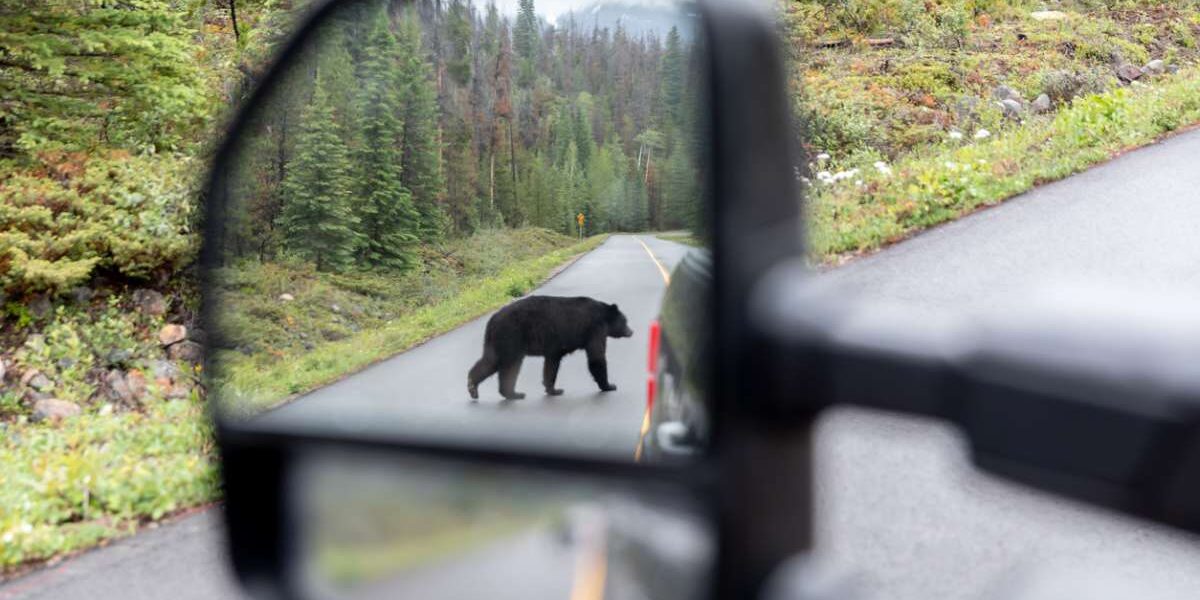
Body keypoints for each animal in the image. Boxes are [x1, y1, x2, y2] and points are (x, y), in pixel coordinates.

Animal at [467, 296, 634, 401]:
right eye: (625, 320)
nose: (631, 331)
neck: (603, 315)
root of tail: (492, 319)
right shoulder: (594, 328)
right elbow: (596, 357)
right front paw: (609, 385)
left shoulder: (555, 347)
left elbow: (551, 364)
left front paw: (553, 389)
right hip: (511, 336)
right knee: (509, 365)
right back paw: (513, 393)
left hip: (497, 341)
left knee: (490, 361)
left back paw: (473, 387)